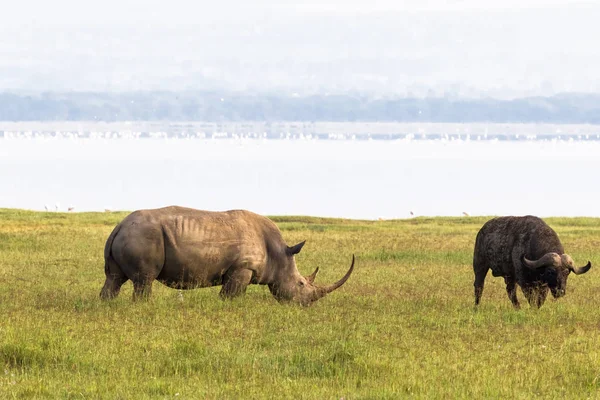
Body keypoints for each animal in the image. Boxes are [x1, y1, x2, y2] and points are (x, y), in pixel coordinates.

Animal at [100, 208, 354, 304]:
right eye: (301, 284)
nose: (306, 305)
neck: (279, 254)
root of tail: (119, 226)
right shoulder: (242, 268)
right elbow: (230, 297)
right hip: (142, 236)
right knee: (144, 280)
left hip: (130, 235)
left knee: (114, 279)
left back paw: (108, 306)